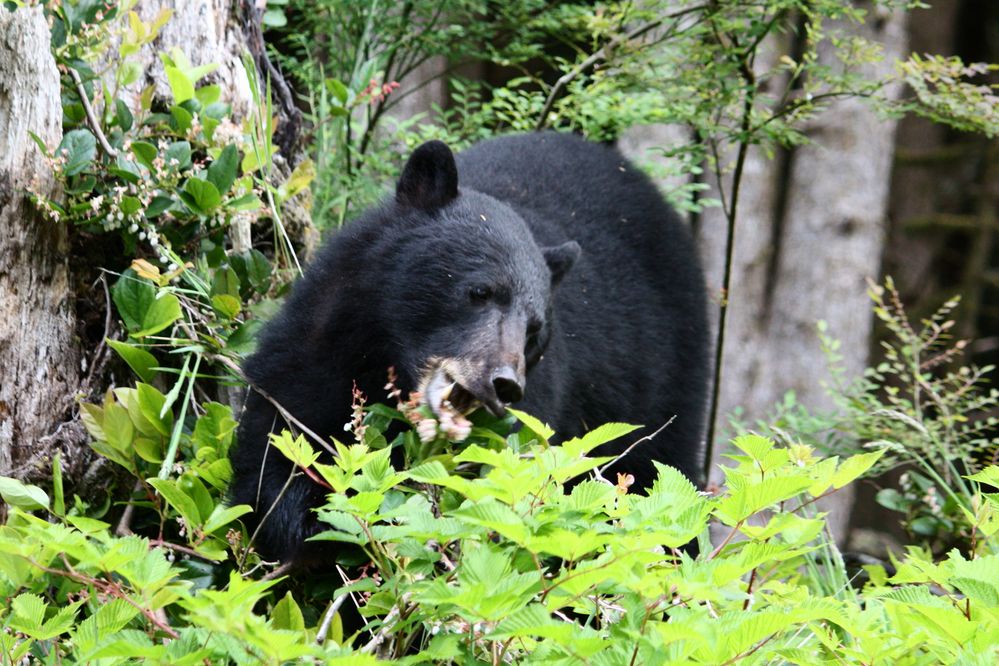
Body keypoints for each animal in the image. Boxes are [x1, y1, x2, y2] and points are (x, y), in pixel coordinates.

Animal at [230, 132, 712, 564]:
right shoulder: (318, 344)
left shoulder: (527, 421)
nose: (503, 383)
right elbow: (279, 439)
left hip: (668, 380)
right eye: (480, 291)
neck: (380, 358)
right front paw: (306, 521)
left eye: (533, 330)